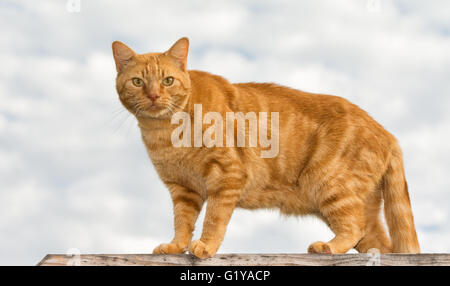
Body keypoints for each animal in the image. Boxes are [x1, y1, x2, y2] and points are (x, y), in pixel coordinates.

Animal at [111, 36, 418, 258]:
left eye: (168, 80)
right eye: (138, 82)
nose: (153, 96)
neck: (164, 133)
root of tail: (387, 133)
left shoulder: (227, 176)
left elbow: (214, 219)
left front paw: (206, 246)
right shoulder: (183, 190)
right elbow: (182, 222)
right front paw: (176, 246)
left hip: (329, 184)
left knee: (355, 226)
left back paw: (327, 247)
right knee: (381, 245)